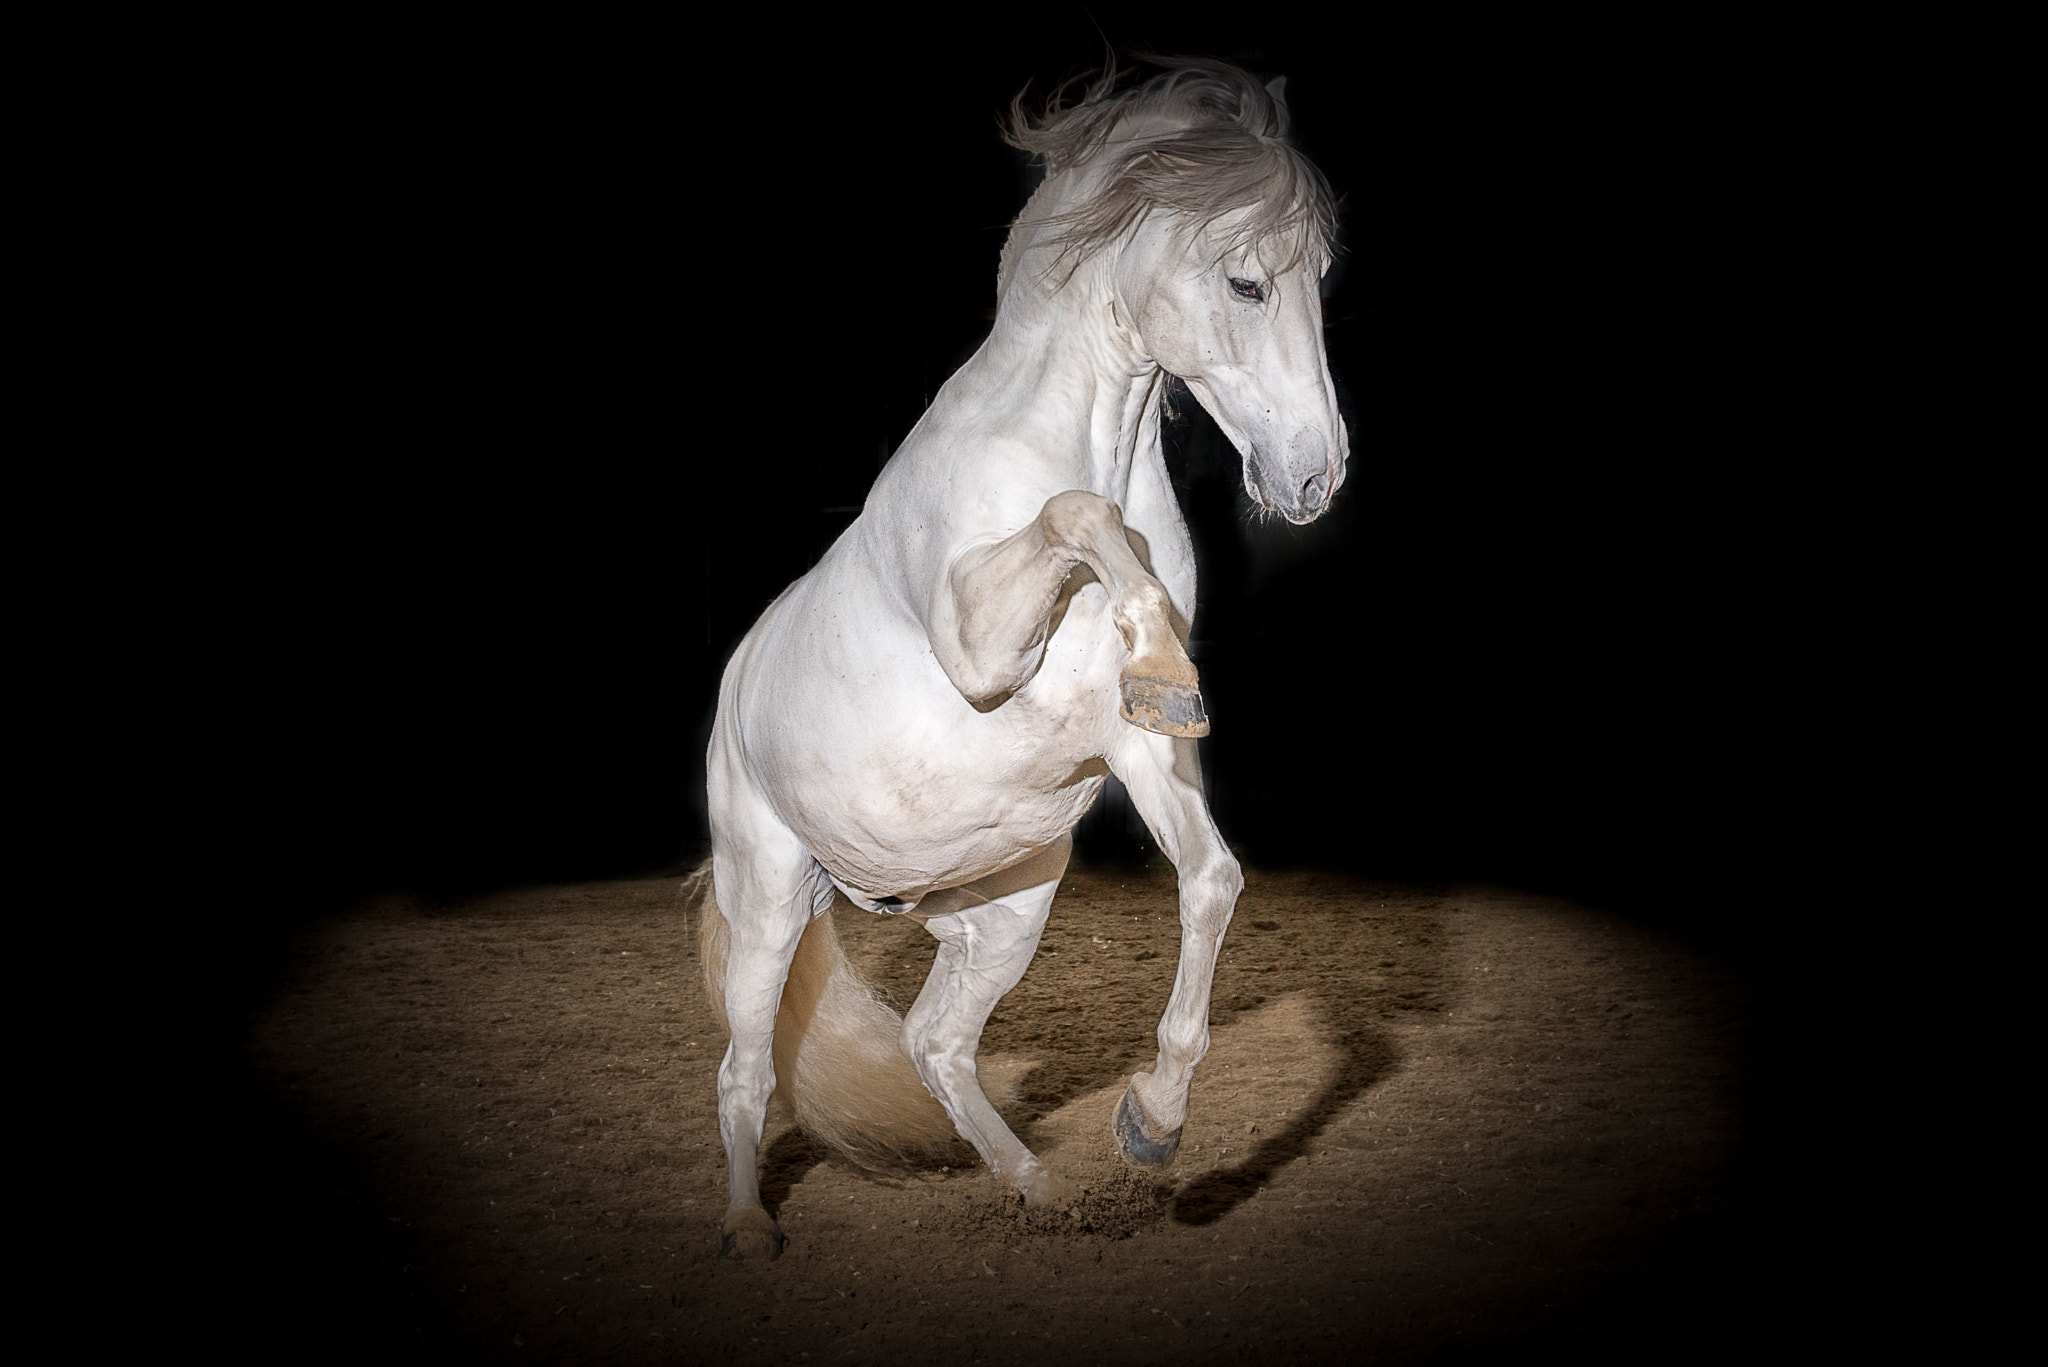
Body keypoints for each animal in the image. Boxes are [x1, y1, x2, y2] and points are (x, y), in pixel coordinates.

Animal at [697, 58, 1345, 1260]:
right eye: (1246, 284)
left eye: (1319, 278)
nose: (1313, 478)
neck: (1078, 429)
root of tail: (737, 679)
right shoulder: (978, 645)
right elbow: (1075, 512)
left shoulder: (1132, 753)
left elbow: (1213, 882)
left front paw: (1151, 1124)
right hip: (765, 893)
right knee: (743, 1070)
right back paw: (748, 1227)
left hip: (1000, 907)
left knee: (936, 1044)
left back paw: (1042, 1186)